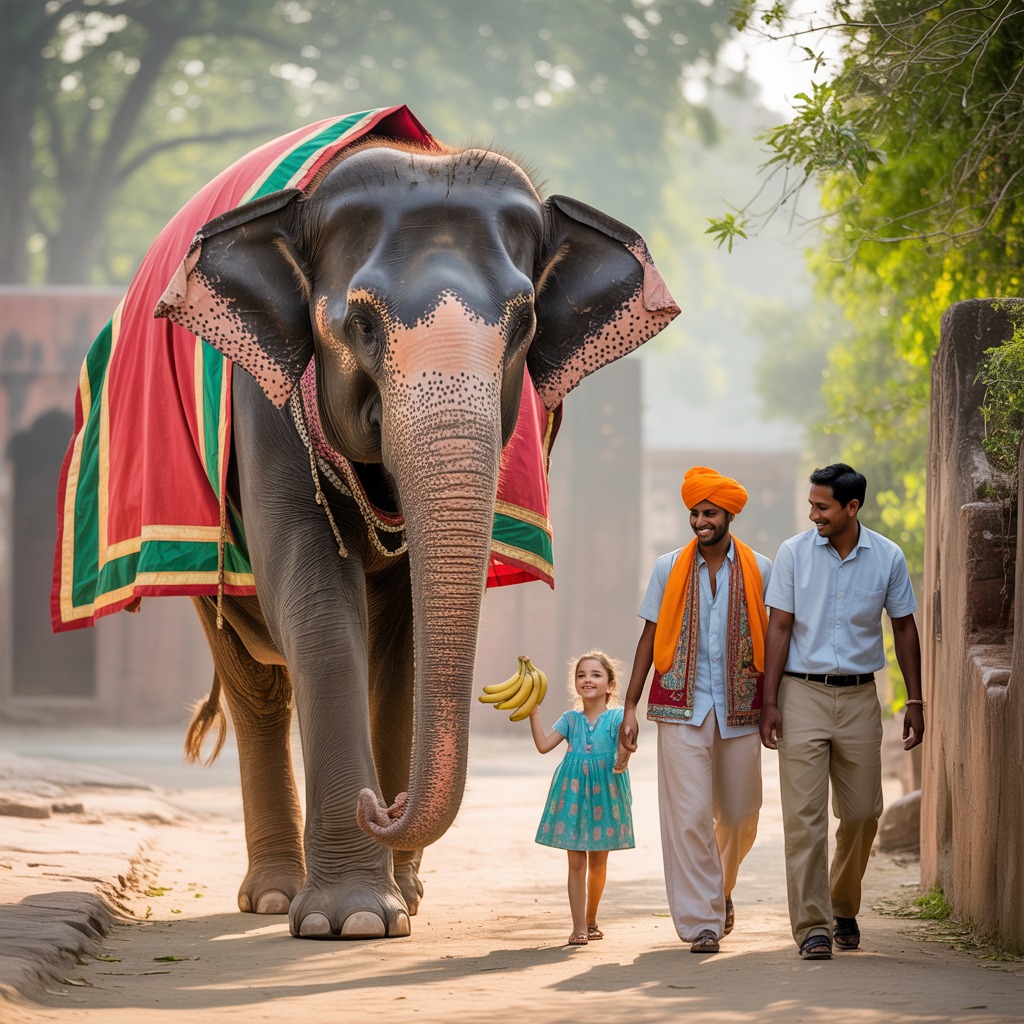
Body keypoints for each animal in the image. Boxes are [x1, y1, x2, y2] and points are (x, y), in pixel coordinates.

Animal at [148, 112, 679, 940]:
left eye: (523, 323)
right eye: (360, 323)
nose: (382, 805)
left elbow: (401, 641)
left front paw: (392, 902)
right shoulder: (262, 401)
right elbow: (318, 604)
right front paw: (351, 920)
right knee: (254, 682)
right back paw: (273, 896)